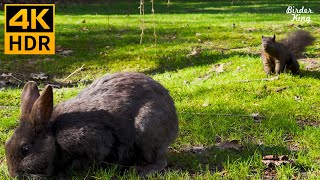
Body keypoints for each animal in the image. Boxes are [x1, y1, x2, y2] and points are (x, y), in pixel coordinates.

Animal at [5, 72, 179, 179]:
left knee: (159, 161)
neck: (54, 136)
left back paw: (142, 170)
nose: (13, 174)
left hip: (147, 132)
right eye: (6, 144)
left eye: (25, 150)